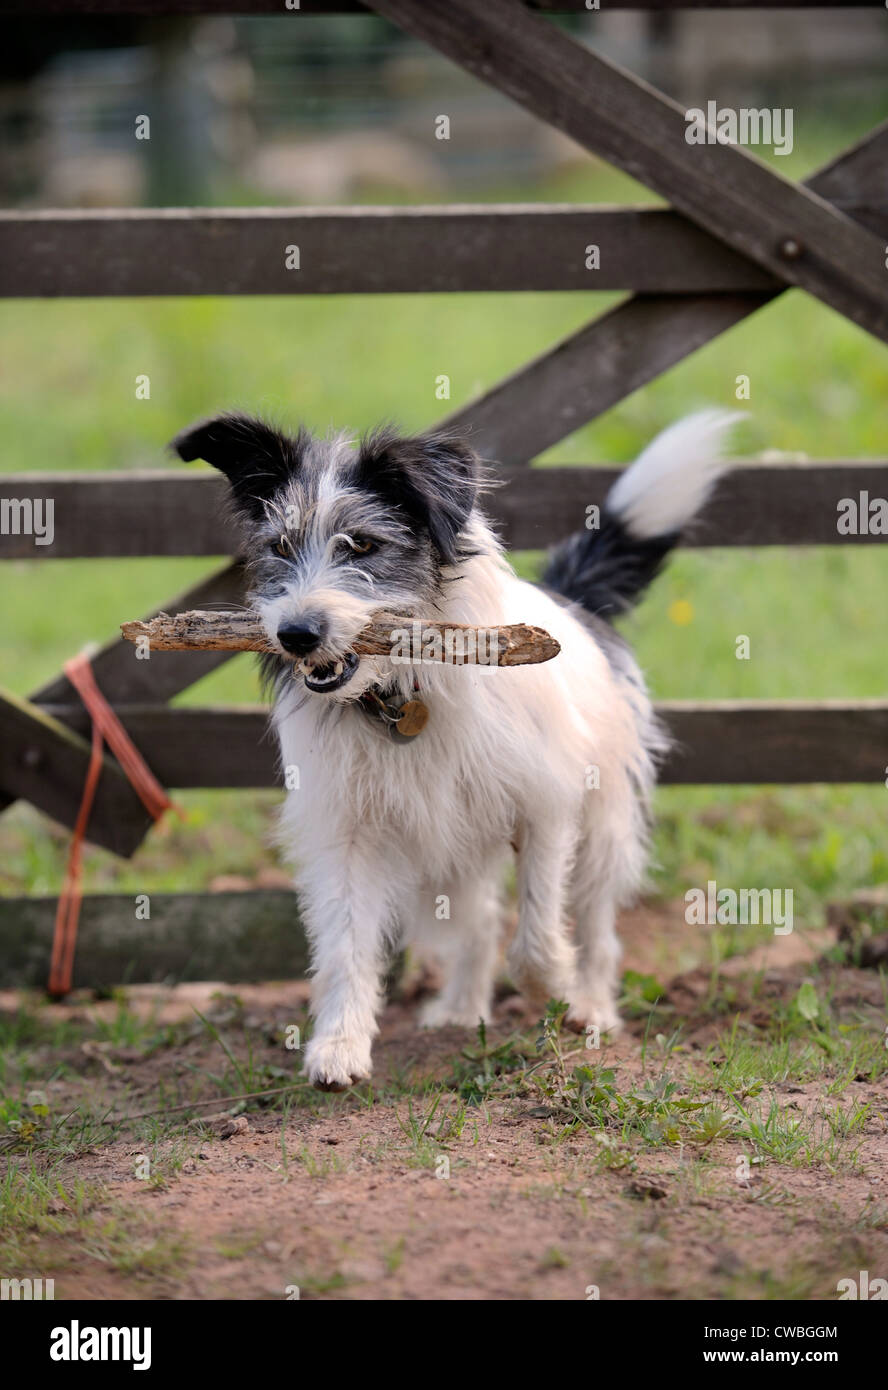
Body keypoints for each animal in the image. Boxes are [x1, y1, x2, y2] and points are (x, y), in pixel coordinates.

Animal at [172, 405, 733, 1089]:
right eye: (280, 546)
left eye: (363, 544)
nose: (296, 634)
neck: (404, 692)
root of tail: (575, 604)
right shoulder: (348, 831)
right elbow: (346, 945)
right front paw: (339, 1044)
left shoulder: (547, 807)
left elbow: (537, 940)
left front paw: (559, 992)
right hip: (449, 849)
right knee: (480, 921)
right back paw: (464, 1008)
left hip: (602, 825)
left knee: (597, 921)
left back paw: (593, 1005)